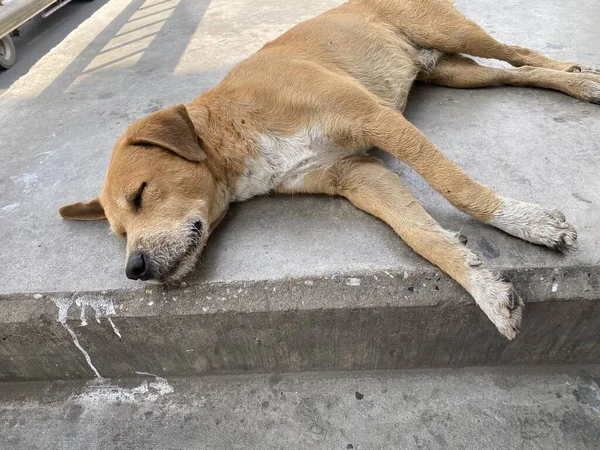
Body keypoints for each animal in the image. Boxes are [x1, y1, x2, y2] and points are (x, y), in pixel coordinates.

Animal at [58, 0, 596, 338]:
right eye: (118, 232)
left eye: (141, 193)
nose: (134, 270)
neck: (237, 126)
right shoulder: (359, 177)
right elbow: (421, 236)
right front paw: (483, 287)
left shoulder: (376, 119)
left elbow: (454, 185)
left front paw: (526, 222)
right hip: (454, 72)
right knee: (517, 74)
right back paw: (575, 82)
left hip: (449, 30)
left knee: (519, 54)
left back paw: (582, 77)